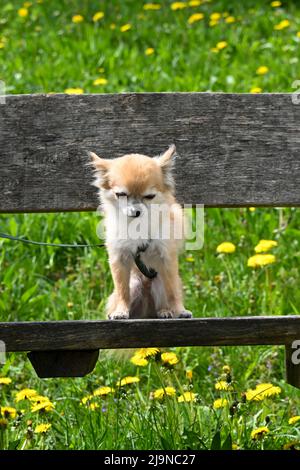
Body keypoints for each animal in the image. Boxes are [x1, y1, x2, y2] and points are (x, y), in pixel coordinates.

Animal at [89, 143, 192, 320]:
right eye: (121, 194)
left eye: (149, 196)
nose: (135, 211)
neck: (136, 225)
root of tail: (146, 311)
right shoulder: (119, 259)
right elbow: (122, 290)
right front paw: (121, 311)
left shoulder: (167, 258)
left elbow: (172, 290)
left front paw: (180, 310)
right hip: (135, 283)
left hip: (158, 282)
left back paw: (165, 311)